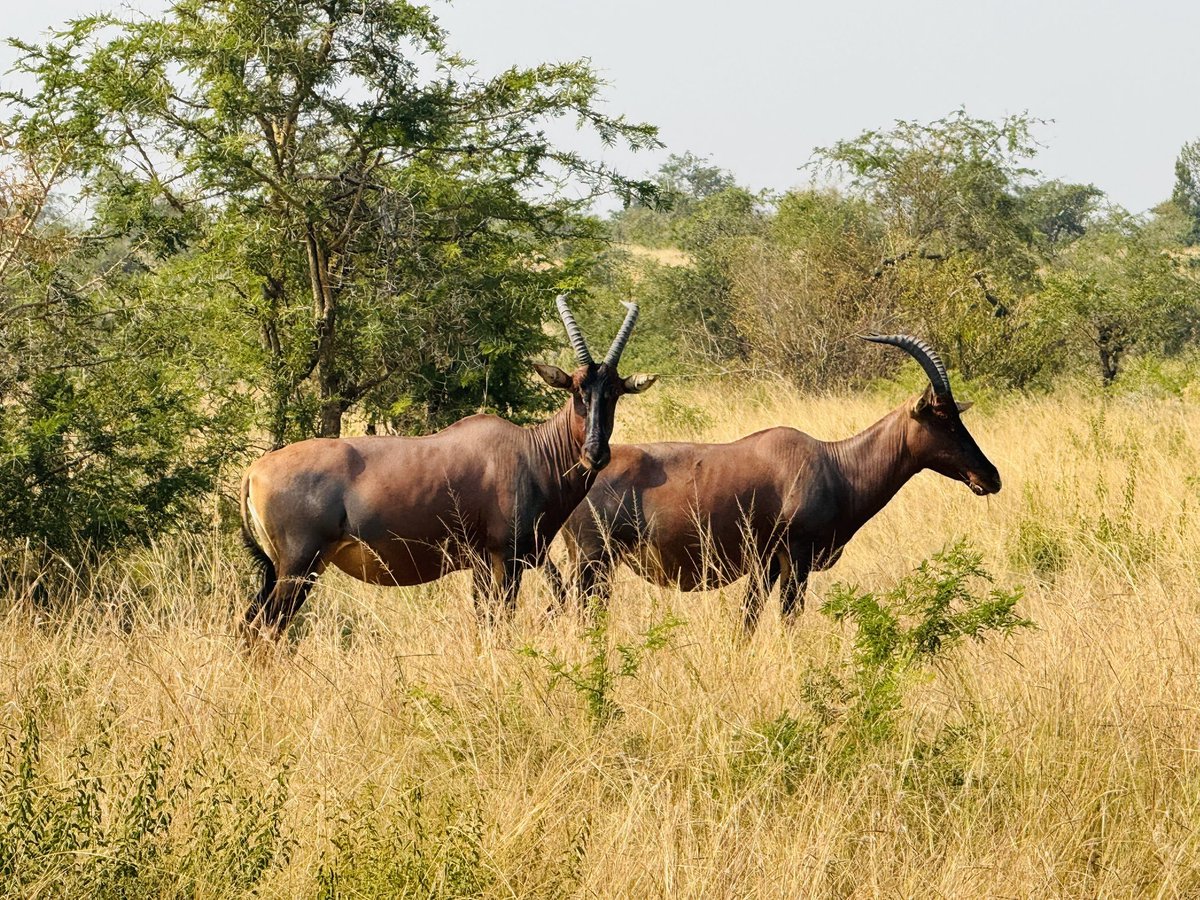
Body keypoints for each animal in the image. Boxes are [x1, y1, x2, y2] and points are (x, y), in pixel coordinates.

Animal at [240, 295, 656, 638]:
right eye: (576, 389)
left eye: (614, 391)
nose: (595, 454)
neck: (531, 451)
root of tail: (254, 471)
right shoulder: (504, 559)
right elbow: (498, 623)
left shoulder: (491, 564)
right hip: (298, 568)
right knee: (264, 627)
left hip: (280, 571)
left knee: (249, 623)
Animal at [544, 335, 1000, 631]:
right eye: (942, 417)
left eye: (956, 414)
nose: (990, 477)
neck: (834, 464)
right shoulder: (795, 561)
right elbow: (787, 622)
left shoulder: (767, 566)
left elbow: (747, 623)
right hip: (592, 562)